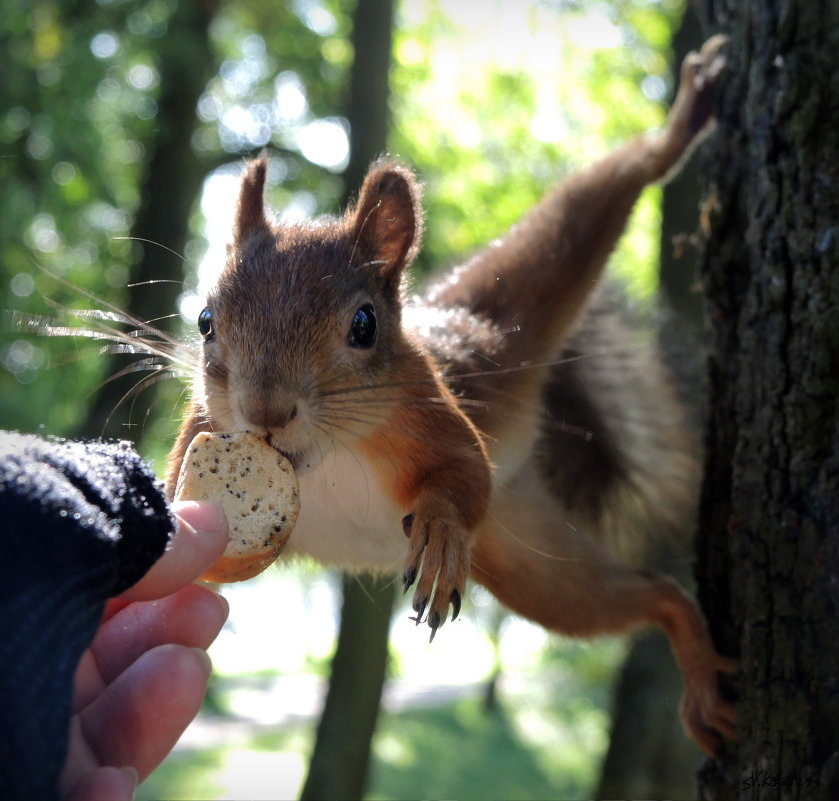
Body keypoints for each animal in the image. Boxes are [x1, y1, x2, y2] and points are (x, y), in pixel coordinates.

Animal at [164, 34, 736, 752]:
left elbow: (464, 473)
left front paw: (438, 529)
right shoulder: (200, 427)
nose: (265, 411)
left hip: (531, 304)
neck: (324, 461)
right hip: (528, 560)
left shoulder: (427, 413)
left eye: (363, 325)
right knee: (635, 595)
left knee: (596, 197)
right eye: (205, 320)